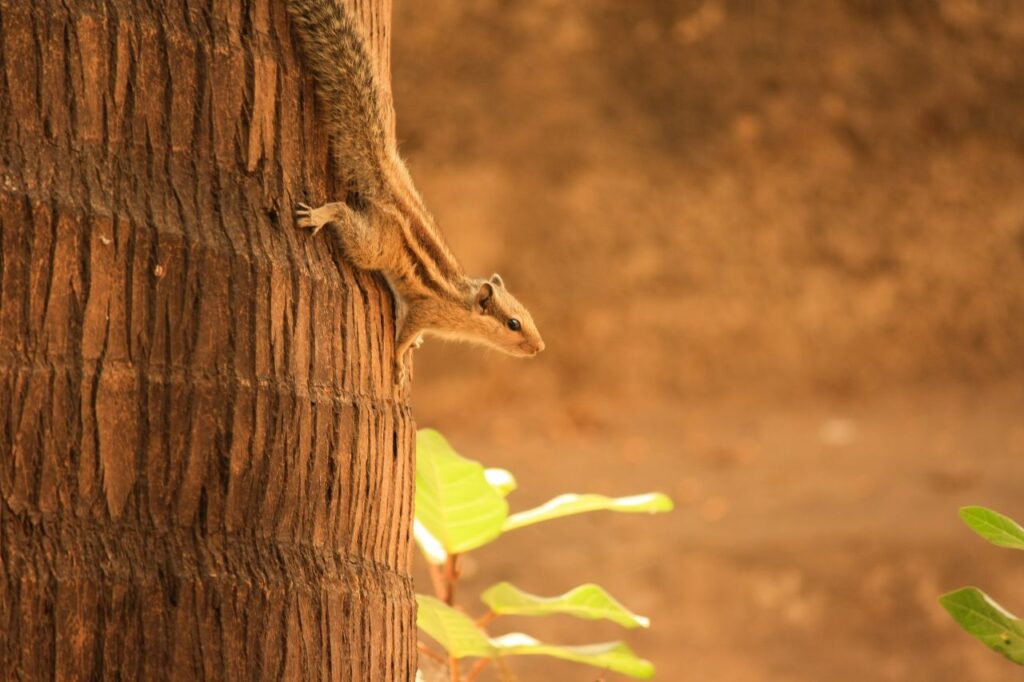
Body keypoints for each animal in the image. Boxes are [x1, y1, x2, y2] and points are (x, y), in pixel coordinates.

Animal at [284, 0, 544, 385]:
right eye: (513, 324)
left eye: (528, 316)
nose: (540, 348)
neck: (462, 303)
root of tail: (387, 177)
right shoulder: (426, 309)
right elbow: (405, 333)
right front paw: (398, 360)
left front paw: (413, 348)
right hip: (375, 245)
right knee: (345, 214)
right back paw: (319, 214)